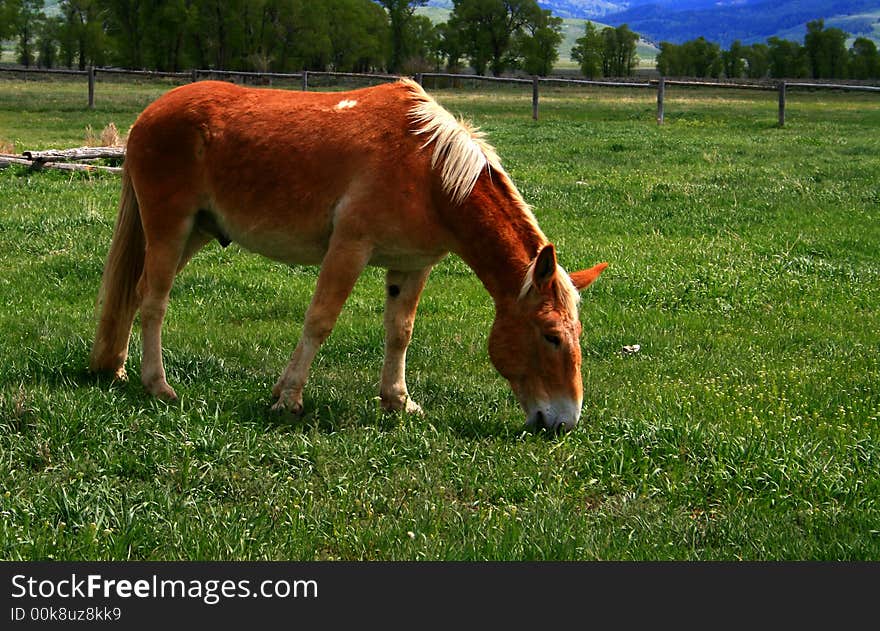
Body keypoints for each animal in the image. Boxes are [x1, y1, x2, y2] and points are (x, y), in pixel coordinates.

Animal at [91, 78, 604, 434]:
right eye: (551, 336)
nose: (563, 422)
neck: (430, 173)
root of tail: (149, 114)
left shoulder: (412, 265)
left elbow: (400, 332)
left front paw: (397, 400)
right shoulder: (349, 248)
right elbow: (320, 321)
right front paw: (288, 399)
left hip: (192, 233)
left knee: (136, 294)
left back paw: (116, 367)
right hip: (169, 228)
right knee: (154, 302)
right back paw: (158, 385)